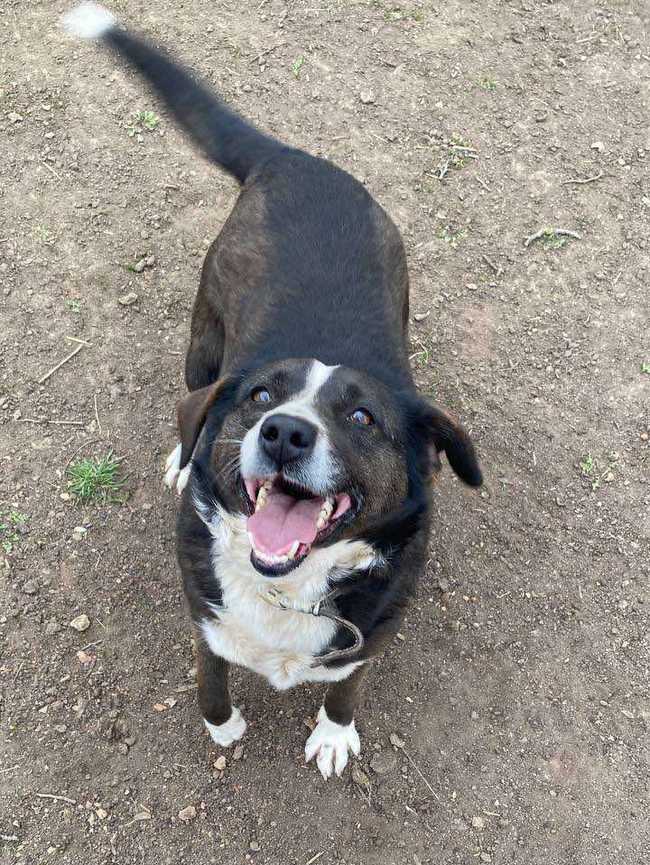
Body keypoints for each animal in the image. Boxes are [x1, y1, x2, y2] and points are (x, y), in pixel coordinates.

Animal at [64, 2, 483, 779]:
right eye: (261, 398)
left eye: (362, 416)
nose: (285, 431)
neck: (288, 586)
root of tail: (292, 157)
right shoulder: (204, 617)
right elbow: (212, 672)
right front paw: (222, 723)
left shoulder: (371, 636)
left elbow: (346, 685)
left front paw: (335, 732)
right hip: (202, 344)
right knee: (190, 404)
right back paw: (182, 455)